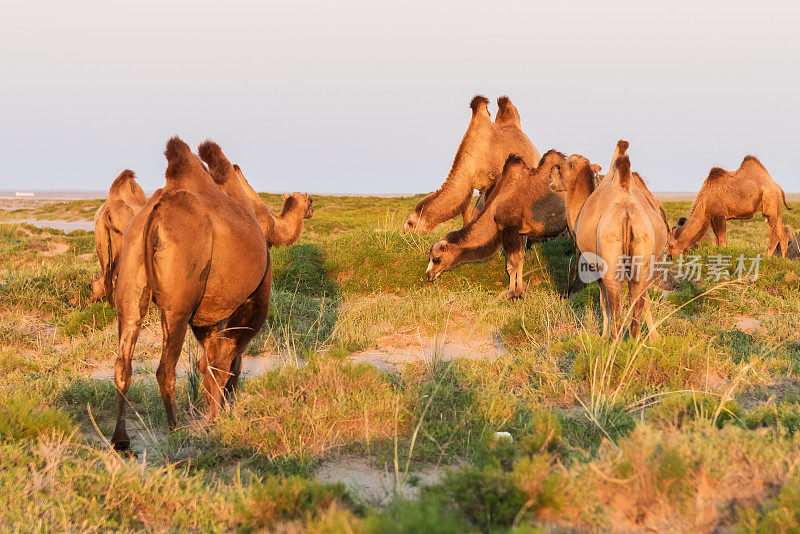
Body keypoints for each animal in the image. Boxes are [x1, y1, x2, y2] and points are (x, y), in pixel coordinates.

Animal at [424, 151, 568, 300]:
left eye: (436, 259)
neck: (493, 210)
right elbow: (520, 260)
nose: (428, 275)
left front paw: (511, 294)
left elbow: (512, 264)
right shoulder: (519, 232)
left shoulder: (509, 228)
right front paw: (520, 292)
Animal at [576, 142, 668, 342]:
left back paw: (616, 341)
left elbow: (604, 302)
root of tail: (626, 212)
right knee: (637, 298)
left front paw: (603, 336)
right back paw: (634, 341)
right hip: (643, 247)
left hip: (610, 259)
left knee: (615, 300)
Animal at [664, 156, 792, 258]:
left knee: (774, 235)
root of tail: (777, 187)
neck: (704, 203)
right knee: (783, 236)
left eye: (670, 246)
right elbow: (718, 242)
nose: (669, 257)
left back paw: (768, 258)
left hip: (770, 206)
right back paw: (782, 260)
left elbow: (723, 243)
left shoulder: (719, 217)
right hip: (776, 211)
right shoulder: (711, 219)